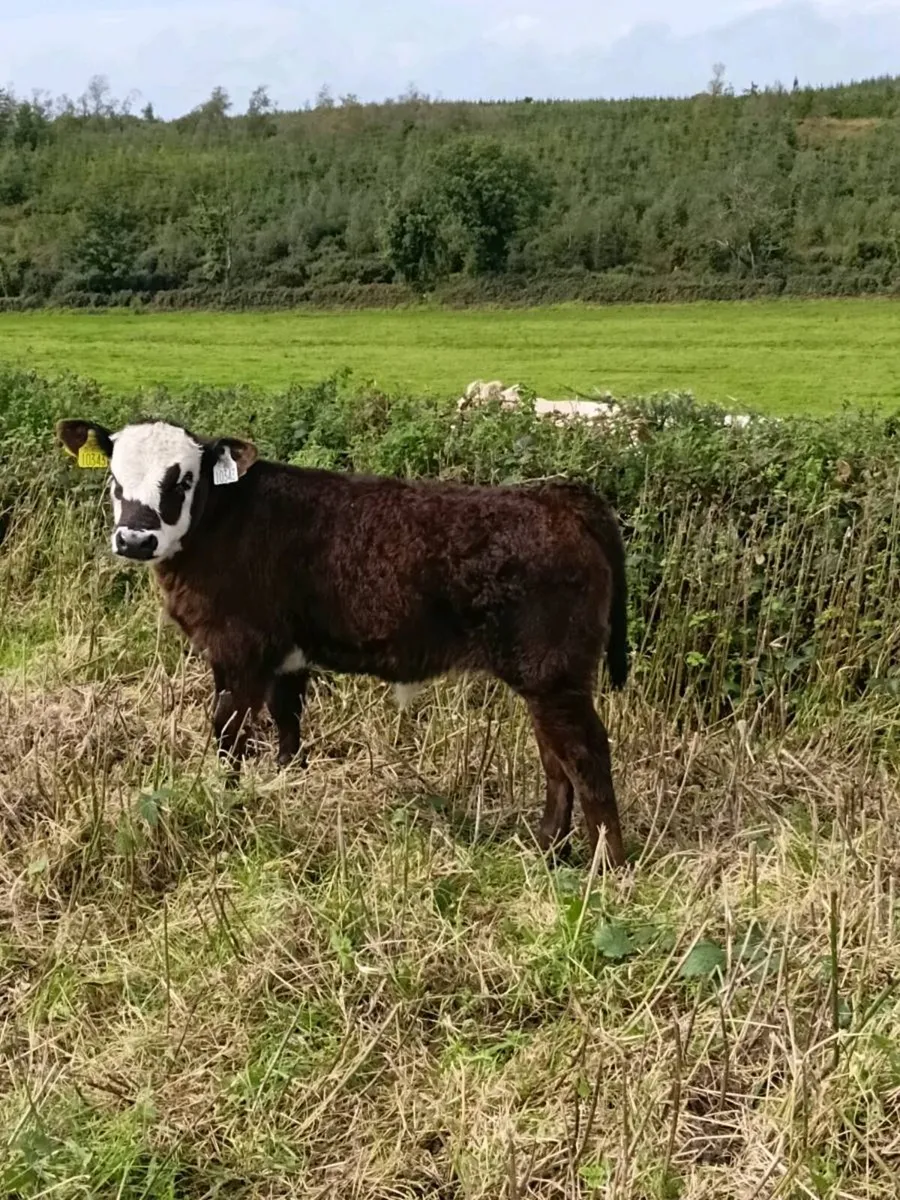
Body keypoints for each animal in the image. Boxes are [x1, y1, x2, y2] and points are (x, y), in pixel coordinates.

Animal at [56, 417, 631, 866]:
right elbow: (287, 721)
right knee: (556, 758)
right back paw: (549, 850)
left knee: (586, 756)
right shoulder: (283, 654)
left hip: (554, 673)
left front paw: (224, 802)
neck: (226, 523)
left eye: (183, 481)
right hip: (546, 679)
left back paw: (607, 869)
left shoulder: (239, 648)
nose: (134, 539)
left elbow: (228, 731)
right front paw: (287, 786)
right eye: (114, 479)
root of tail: (556, 497)